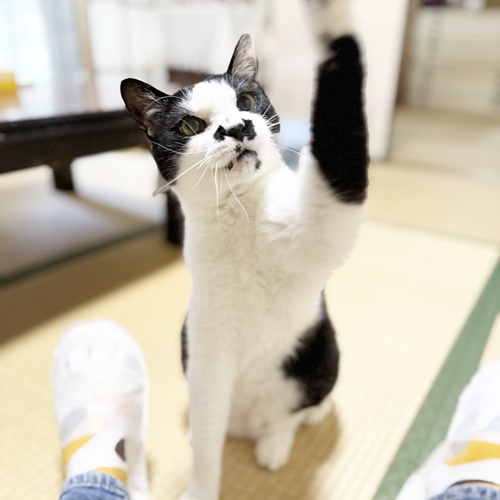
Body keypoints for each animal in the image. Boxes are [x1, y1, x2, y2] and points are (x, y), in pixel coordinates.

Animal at [121, 0, 368, 498]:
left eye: (247, 101)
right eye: (191, 124)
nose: (237, 127)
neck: (241, 217)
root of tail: (251, 422)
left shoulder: (321, 223)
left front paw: (331, 19)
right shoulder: (208, 350)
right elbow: (206, 447)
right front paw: (200, 486)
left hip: (322, 350)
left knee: (292, 414)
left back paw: (279, 442)